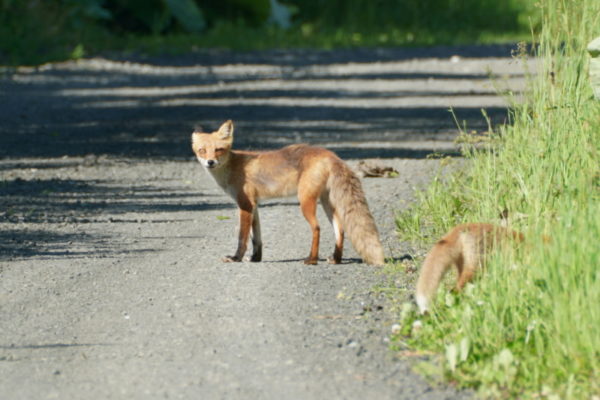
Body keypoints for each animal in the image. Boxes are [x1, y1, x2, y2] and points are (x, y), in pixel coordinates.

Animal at [190, 120, 384, 268]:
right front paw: (255, 259)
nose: (210, 162)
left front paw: (236, 258)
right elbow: (256, 238)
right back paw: (336, 259)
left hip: (305, 201)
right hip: (326, 202)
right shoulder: (254, 205)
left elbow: (242, 237)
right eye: (202, 150)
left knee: (317, 228)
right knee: (340, 229)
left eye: (218, 149)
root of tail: (330, 154)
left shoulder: (245, 204)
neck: (232, 168)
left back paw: (311, 259)